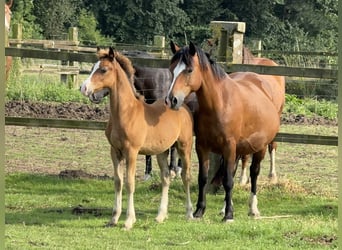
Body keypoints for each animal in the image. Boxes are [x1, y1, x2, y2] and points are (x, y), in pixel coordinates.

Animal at [79, 47, 192, 230]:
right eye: (92, 68)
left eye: (103, 69)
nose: (84, 88)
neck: (126, 113)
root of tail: (181, 106)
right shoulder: (115, 151)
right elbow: (118, 182)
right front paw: (113, 218)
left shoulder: (131, 152)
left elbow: (130, 183)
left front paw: (128, 220)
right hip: (161, 151)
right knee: (165, 178)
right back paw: (160, 216)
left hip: (184, 146)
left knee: (186, 176)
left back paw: (189, 213)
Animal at [166, 41, 280, 223]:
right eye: (171, 69)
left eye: (189, 70)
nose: (172, 99)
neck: (218, 103)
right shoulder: (202, 147)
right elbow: (203, 178)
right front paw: (199, 211)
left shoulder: (228, 146)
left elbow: (228, 181)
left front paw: (229, 215)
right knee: (233, 172)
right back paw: (224, 207)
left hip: (260, 147)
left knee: (254, 173)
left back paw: (253, 209)